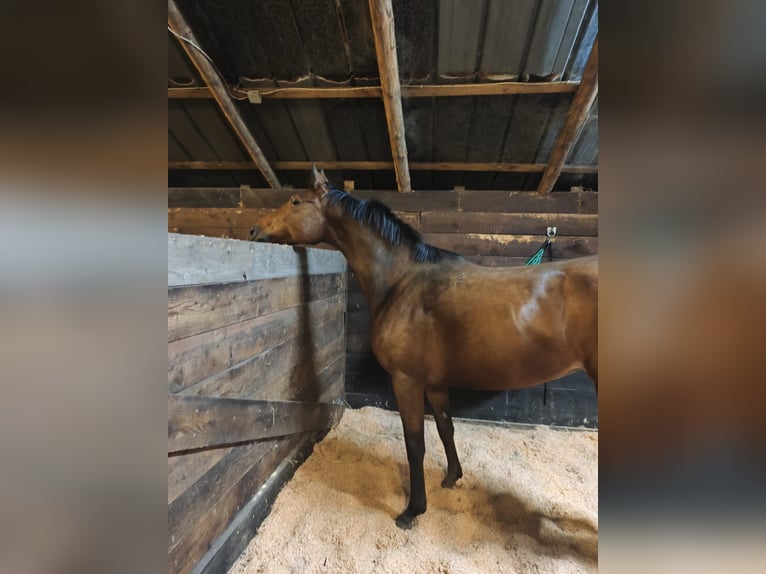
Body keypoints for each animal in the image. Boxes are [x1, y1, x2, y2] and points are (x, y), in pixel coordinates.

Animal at [251, 167, 598, 529]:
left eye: (294, 201)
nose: (254, 230)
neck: (402, 281)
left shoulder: (406, 381)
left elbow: (414, 444)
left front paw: (413, 510)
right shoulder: (434, 383)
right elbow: (446, 428)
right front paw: (452, 477)